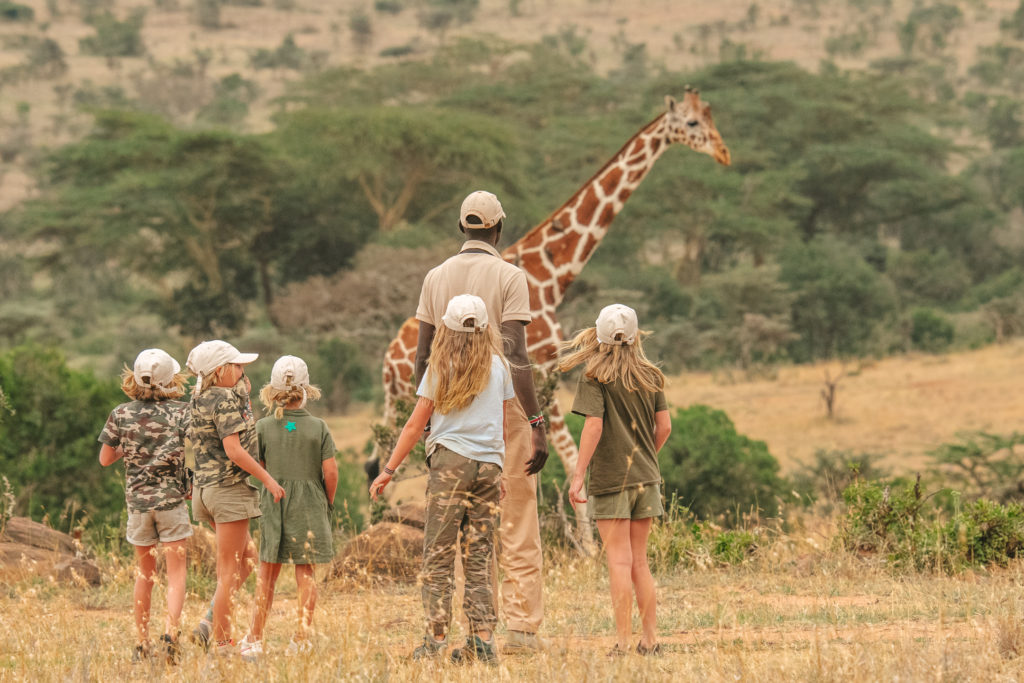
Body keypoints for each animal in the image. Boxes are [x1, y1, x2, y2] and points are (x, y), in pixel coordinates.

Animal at [376, 89, 730, 541]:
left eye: (710, 117)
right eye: (691, 123)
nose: (723, 153)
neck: (552, 276)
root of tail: (388, 361)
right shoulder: (540, 370)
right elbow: (566, 454)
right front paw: (587, 546)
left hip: (409, 398)